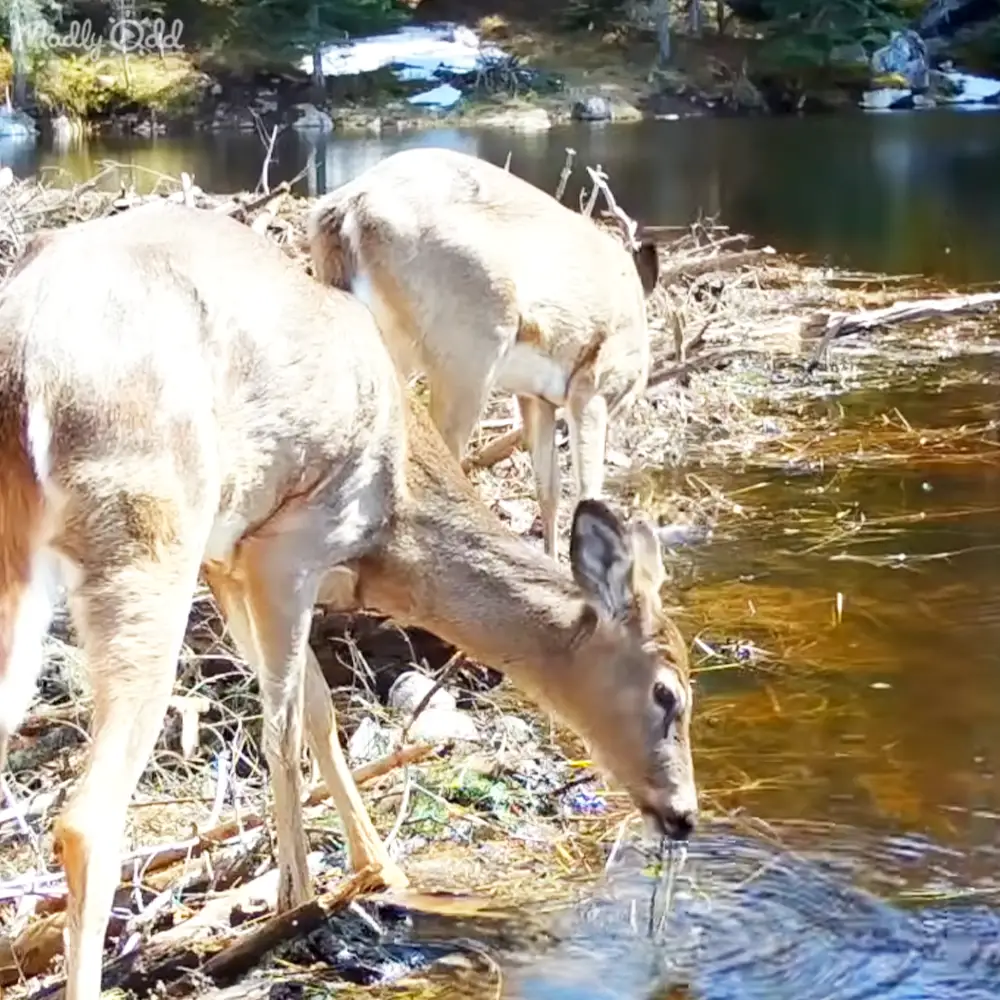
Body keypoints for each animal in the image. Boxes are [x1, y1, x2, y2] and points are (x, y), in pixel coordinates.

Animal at [0, 202, 696, 1000]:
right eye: (669, 694)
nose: (685, 815)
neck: (394, 518)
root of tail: (27, 366)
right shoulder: (286, 546)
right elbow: (283, 725)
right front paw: (296, 903)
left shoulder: (229, 560)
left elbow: (317, 710)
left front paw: (377, 869)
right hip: (147, 533)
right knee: (88, 817)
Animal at [306, 145, 661, 558]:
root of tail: (350, 208)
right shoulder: (593, 384)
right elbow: (587, 492)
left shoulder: (535, 395)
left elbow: (549, 488)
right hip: (469, 351)